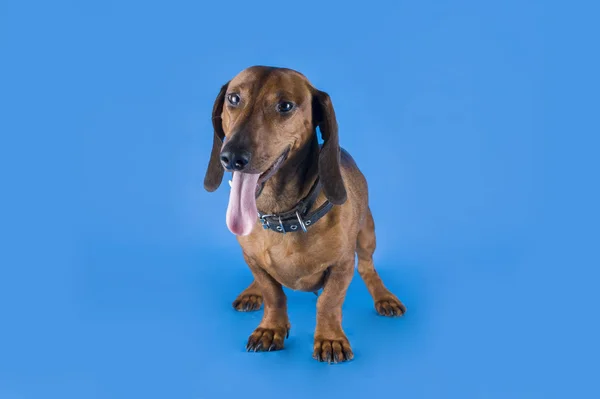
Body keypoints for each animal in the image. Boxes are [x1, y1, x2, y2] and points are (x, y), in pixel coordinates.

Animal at [204, 65, 406, 362]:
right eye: (233, 98)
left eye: (285, 106)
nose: (231, 157)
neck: (284, 216)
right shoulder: (251, 259)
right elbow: (273, 293)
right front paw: (270, 328)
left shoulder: (342, 265)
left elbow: (328, 301)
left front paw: (330, 338)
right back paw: (252, 292)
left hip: (367, 234)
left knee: (368, 268)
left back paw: (384, 296)